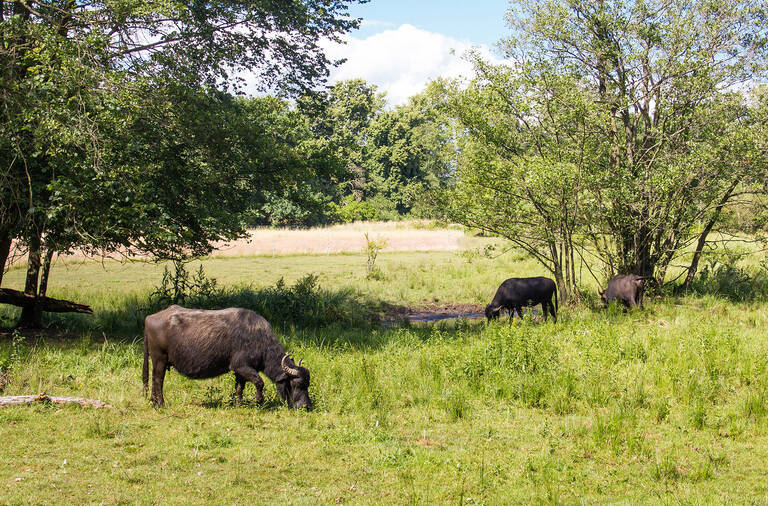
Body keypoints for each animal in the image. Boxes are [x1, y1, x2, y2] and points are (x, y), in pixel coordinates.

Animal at [142, 304, 310, 412]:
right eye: (295, 384)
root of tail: (149, 318)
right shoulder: (242, 366)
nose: (306, 406)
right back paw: (161, 404)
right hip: (159, 359)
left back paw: (153, 402)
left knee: (154, 379)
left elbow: (239, 387)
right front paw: (258, 401)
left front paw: (239, 404)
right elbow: (259, 382)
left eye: (307, 385)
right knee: (158, 380)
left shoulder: (239, 371)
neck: (259, 339)